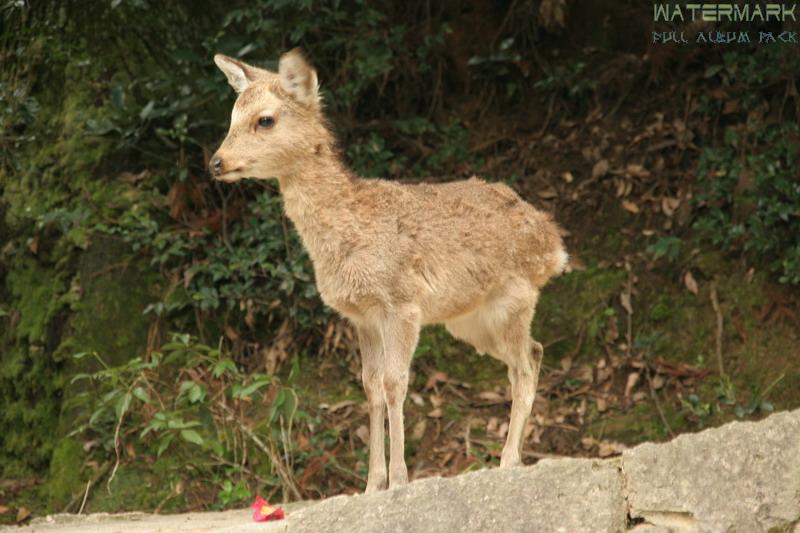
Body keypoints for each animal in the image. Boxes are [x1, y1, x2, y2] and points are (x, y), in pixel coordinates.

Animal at [209, 48, 564, 490]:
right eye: (231, 116)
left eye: (265, 119)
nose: (216, 162)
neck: (348, 233)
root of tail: (553, 244)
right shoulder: (362, 317)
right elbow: (371, 386)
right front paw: (372, 483)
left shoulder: (401, 302)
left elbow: (396, 383)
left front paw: (399, 480)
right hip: (470, 321)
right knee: (535, 350)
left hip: (511, 301)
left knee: (524, 365)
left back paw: (509, 460)